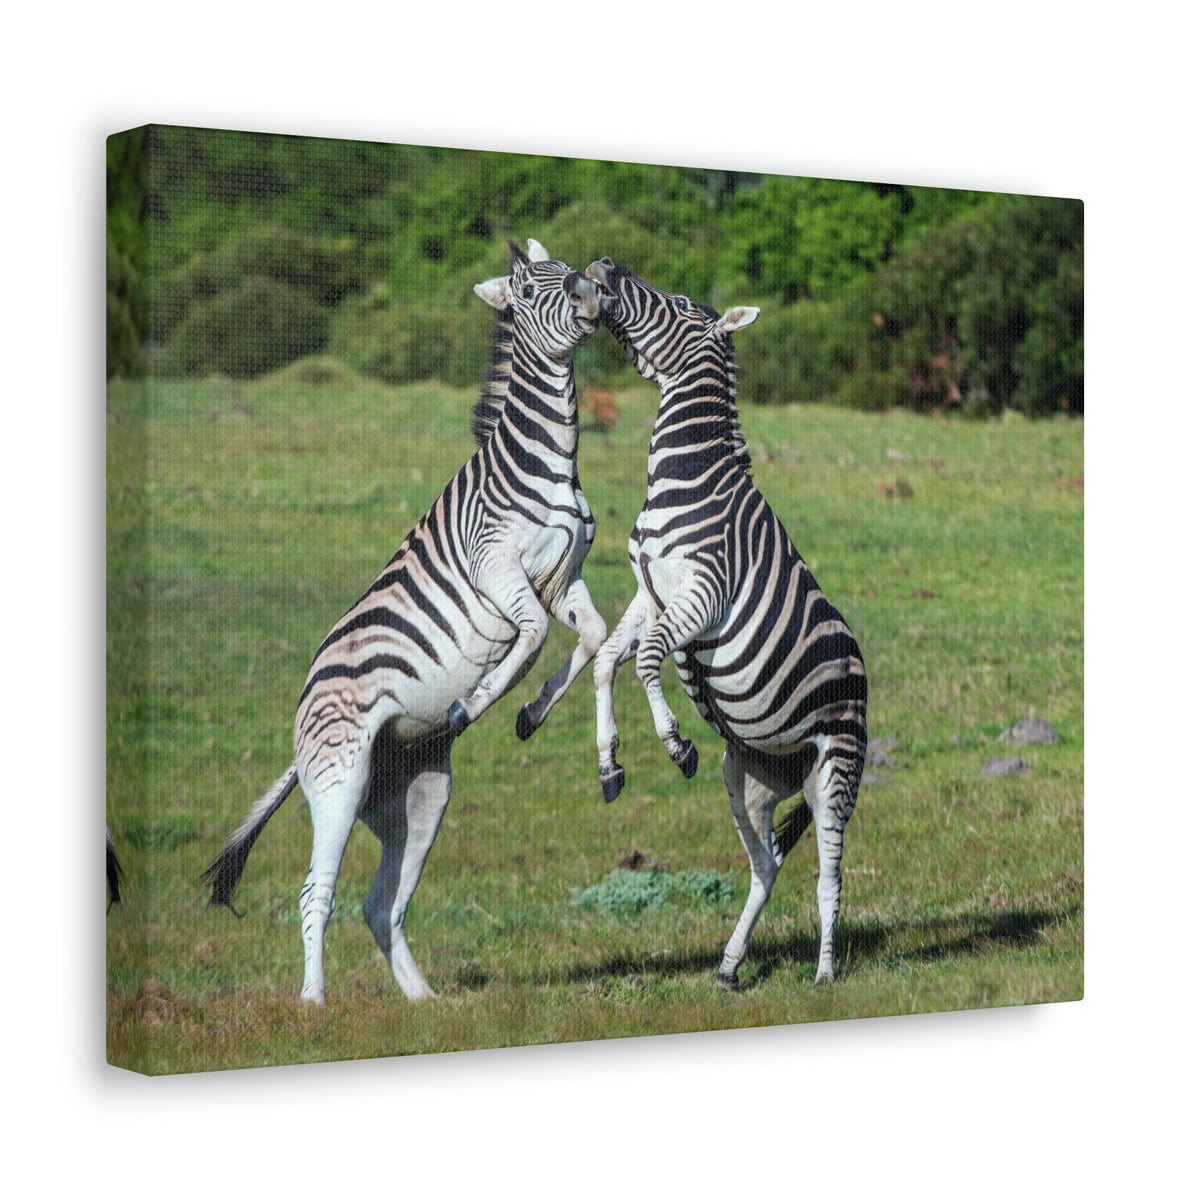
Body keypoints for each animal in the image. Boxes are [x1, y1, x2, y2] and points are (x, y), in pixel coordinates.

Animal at [203, 239, 608, 1004]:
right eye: (529, 289)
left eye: (566, 268)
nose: (592, 290)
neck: (549, 462)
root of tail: (301, 719)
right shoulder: (499, 570)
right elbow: (534, 636)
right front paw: (478, 700)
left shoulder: (562, 578)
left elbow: (590, 638)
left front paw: (531, 715)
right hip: (339, 781)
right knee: (317, 892)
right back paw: (313, 1004)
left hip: (417, 796)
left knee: (380, 902)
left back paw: (422, 1001)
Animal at [586, 257, 868, 988]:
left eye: (681, 302)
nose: (603, 267)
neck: (684, 474)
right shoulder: (649, 592)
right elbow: (607, 660)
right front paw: (609, 763)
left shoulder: (704, 595)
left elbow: (648, 658)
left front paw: (674, 742)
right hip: (749, 777)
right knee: (766, 863)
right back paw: (730, 966)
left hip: (837, 768)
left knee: (829, 875)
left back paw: (825, 975)